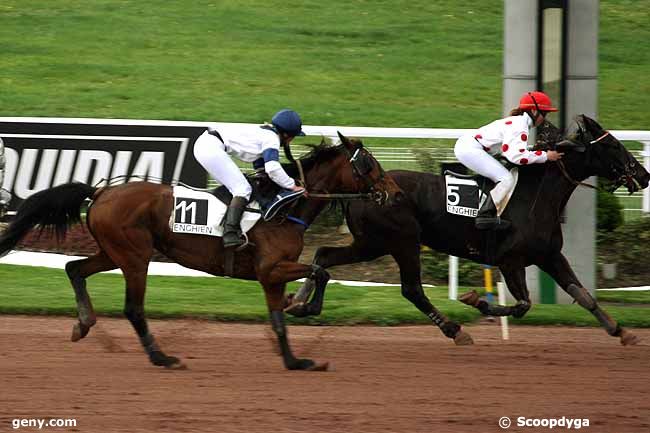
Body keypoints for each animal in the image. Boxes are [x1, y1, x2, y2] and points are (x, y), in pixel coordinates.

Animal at [0, 133, 400, 370]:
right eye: (368, 164)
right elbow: (321, 271)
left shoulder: (270, 276)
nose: (394, 193)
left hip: (114, 253)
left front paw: (294, 359)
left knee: (74, 268)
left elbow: (278, 318)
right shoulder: (271, 269)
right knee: (133, 308)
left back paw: (83, 323)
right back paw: (160, 356)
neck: (285, 207)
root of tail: (101, 192)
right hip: (135, 257)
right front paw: (305, 307)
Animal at [288, 116, 648, 346]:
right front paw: (476, 299)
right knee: (412, 289)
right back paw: (454, 329)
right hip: (402, 240)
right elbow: (523, 304)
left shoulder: (549, 255)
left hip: (371, 243)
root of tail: (365, 190)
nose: (643, 176)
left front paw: (621, 331)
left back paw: (299, 301)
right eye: (614, 147)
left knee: (325, 255)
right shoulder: (510, 260)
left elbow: (582, 294)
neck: (537, 195)